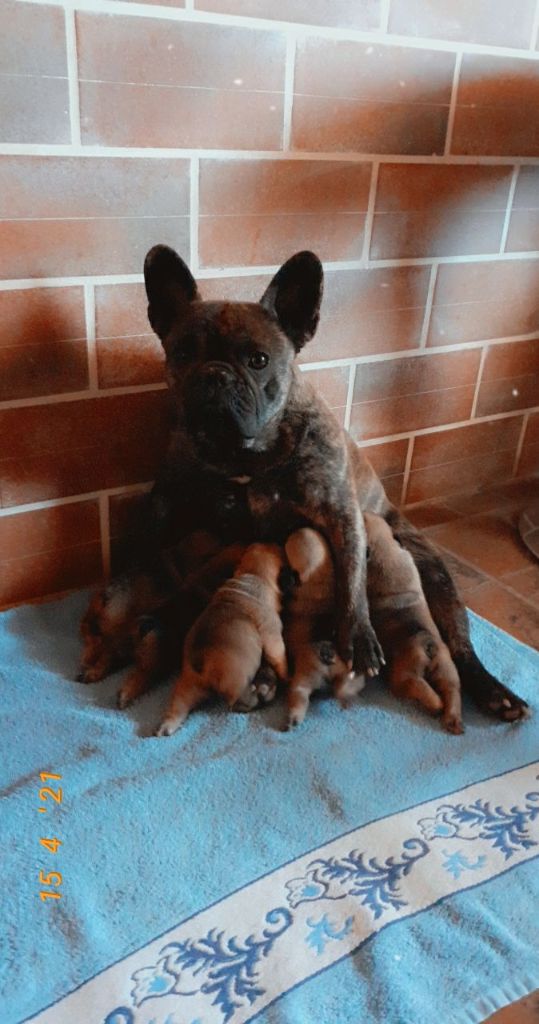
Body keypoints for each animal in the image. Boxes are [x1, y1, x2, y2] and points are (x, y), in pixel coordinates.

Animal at [155, 544, 286, 737]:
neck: (253, 574)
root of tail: (200, 666)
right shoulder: (273, 635)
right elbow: (279, 658)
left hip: (185, 687)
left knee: (177, 706)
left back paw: (166, 727)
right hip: (238, 679)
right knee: (237, 701)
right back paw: (256, 697)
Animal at [282, 528, 362, 729]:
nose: (297, 529)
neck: (318, 577)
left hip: (302, 680)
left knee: (299, 696)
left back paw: (292, 718)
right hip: (346, 674)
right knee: (344, 686)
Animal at [366, 512, 465, 737]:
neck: (387, 551)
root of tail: (429, 645)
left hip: (405, 675)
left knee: (418, 687)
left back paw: (436, 706)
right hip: (448, 671)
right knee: (452, 692)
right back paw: (452, 720)